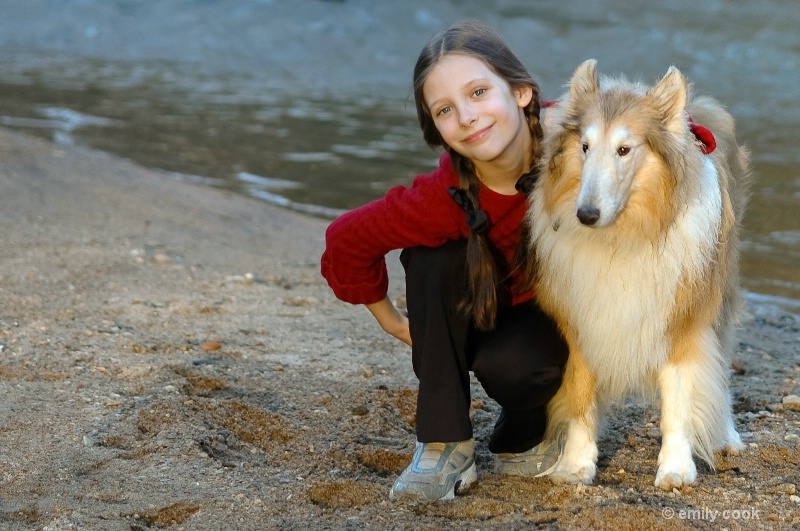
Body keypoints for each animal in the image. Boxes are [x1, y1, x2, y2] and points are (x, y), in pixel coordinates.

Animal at [532, 61, 752, 490]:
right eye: (585, 146)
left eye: (624, 149)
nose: (586, 215)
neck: (626, 235)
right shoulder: (583, 320)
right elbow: (581, 395)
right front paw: (575, 465)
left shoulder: (681, 319)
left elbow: (679, 402)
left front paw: (676, 469)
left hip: (719, 298)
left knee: (720, 369)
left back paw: (727, 436)